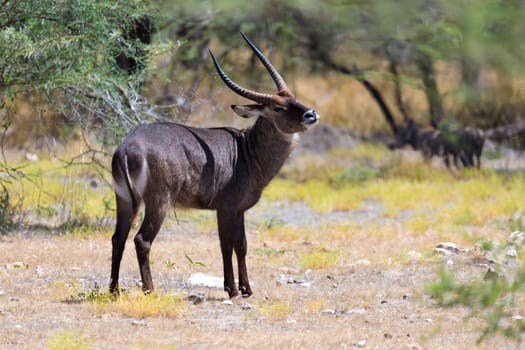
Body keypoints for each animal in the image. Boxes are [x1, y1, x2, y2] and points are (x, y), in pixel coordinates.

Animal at [108, 32, 318, 296]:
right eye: (277, 107)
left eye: (294, 98)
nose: (311, 114)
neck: (246, 151)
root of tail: (127, 148)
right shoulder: (225, 208)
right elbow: (226, 244)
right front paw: (233, 289)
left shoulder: (239, 210)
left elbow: (241, 244)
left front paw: (247, 288)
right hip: (159, 201)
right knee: (141, 239)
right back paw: (150, 289)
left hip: (125, 200)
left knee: (118, 237)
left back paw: (114, 290)